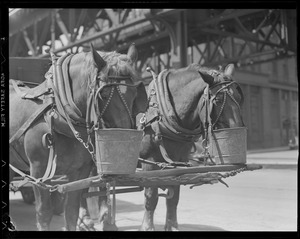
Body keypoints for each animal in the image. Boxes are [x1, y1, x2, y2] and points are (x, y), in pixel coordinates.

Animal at [10, 44, 148, 231]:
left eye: (135, 94)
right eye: (103, 94)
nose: (124, 139)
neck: (58, 112)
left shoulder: (79, 171)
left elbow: (71, 212)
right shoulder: (38, 171)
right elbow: (44, 214)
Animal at [139, 62, 245, 231]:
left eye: (239, 97)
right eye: (218, 99)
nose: (237, 130)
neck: (160, 115)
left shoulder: (179, 161)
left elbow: (174, 197)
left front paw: (172, 226)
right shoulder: (148, 161)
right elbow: (151, 198)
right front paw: (147, 227)